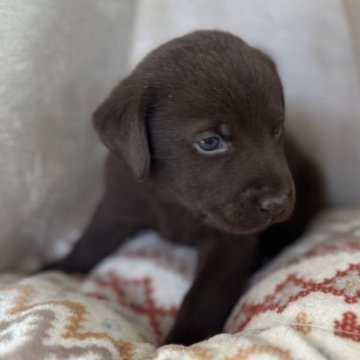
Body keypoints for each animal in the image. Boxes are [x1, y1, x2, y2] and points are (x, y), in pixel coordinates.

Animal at [44, 31, 324, 346]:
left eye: (276, 129)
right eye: (210, 142)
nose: (276, 202)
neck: (176, 202)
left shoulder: (229, 243)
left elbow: (206, 292)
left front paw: (185, 339)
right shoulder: (117, 204)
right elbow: (90, 243)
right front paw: (56, 269)